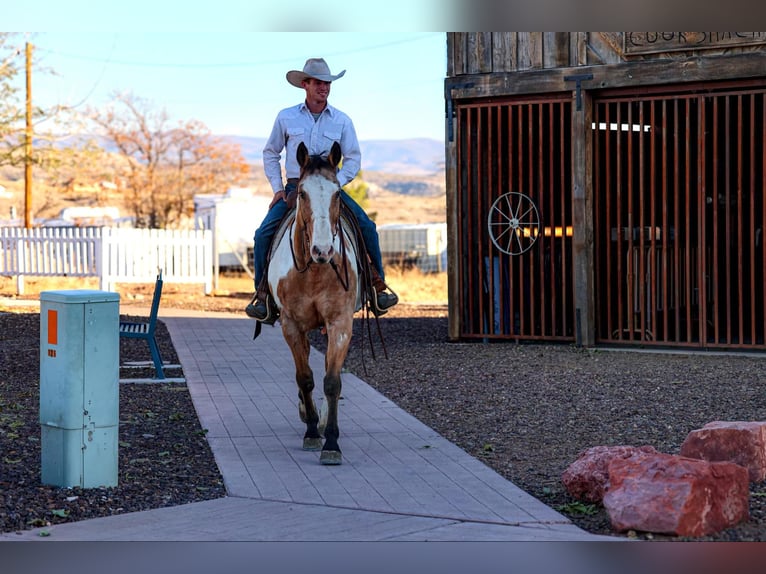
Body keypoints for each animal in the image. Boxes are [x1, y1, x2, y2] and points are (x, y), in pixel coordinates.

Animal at [267, 140, 360, 465]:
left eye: (337, 193)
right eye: (302, 193)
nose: (323, 250)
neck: (316, 271)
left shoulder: (340, 323)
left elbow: (331, 381)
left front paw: (330, 442)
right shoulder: (291, 325)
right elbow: (304, 377)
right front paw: (310, 433)